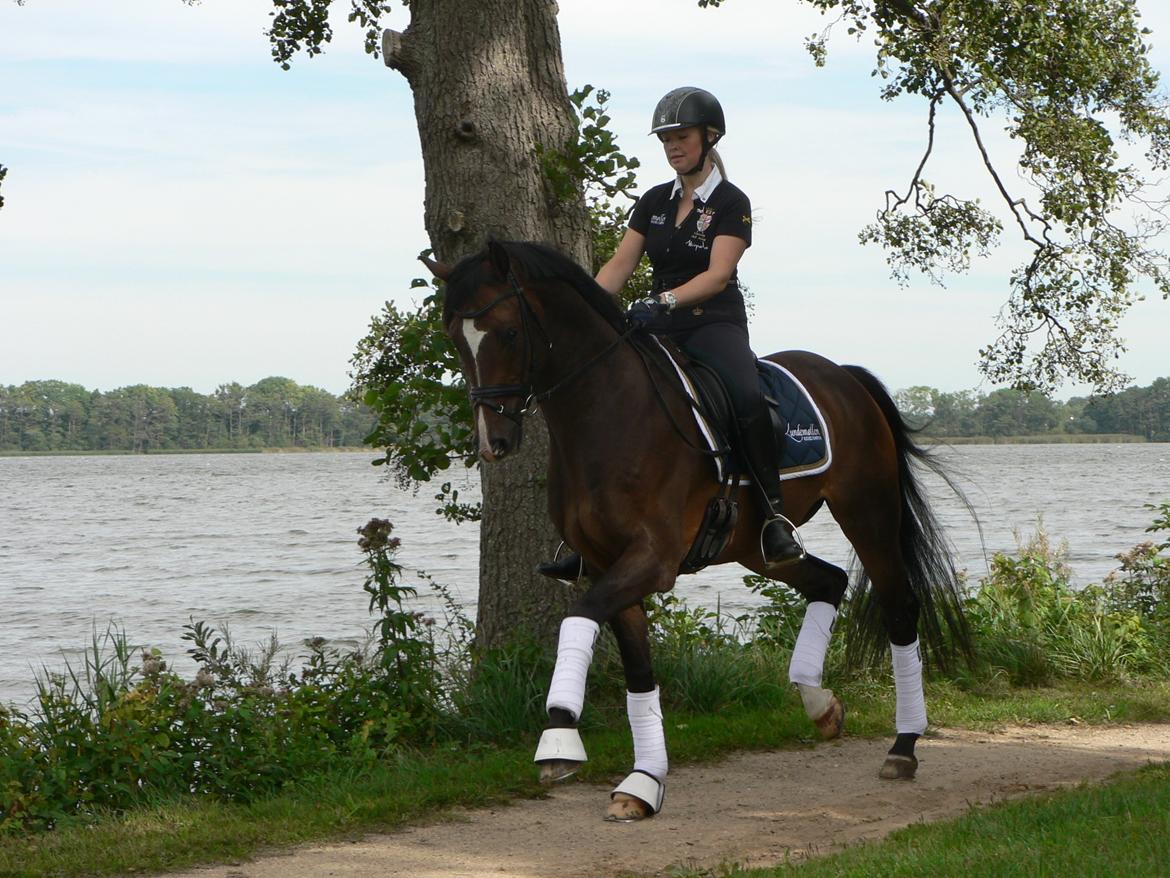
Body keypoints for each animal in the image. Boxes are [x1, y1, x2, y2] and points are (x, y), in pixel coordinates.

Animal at [425, 238, 973, 824]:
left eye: (507, 331)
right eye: (455, 338)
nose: (493, 442)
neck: (607, 414)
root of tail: (844, 377)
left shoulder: (653, 558)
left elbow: (578, 617)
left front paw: (559, 740)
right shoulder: (607, 563)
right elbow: (639, 672)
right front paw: (643, 784)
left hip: (868, 512)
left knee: (899, 608)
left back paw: (903, 747)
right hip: (754, 546)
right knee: (828, 582)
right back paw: (821, 705)